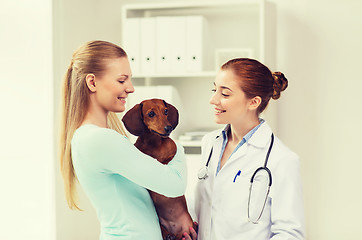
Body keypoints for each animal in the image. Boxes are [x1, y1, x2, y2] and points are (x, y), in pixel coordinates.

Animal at [121, 98, 195, 240]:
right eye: (151, 114)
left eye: (166, 111)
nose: (169, 128)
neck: (153, 143)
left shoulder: (172, 153)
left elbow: (166, 160)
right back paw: (168, 235)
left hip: (188, 228)